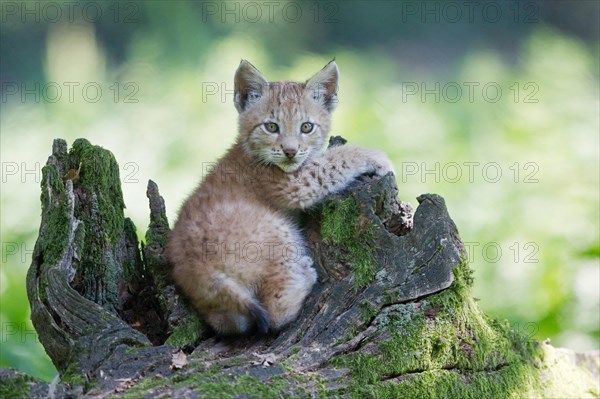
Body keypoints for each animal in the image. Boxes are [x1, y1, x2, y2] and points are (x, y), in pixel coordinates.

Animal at [166, 59, 396, 334]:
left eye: (306, 127)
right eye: (271, 127)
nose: (290, 151)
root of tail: (196, 269)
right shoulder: (295, 184)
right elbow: (334, 160)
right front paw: (376, 157)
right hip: (274, 227)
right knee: (276, 315)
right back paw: (305, 276)